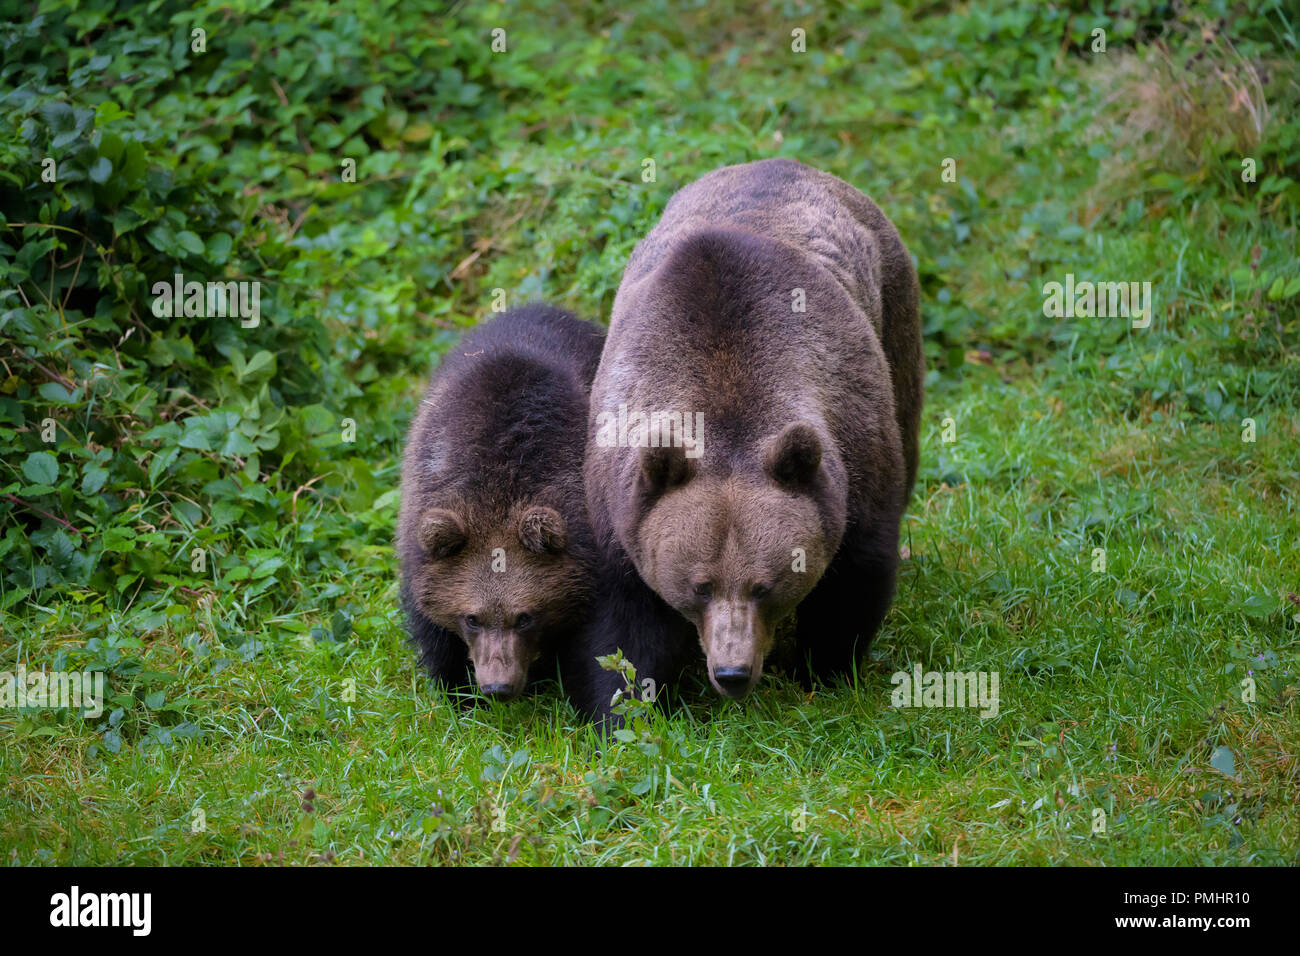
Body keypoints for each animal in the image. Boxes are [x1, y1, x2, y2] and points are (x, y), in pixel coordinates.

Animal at [567, 158, 922, 722]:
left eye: (764, 586)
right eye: (699, 585)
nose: (732, 673)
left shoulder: (853, 442)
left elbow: (854, 576)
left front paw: (824, 669)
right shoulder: (619, 497)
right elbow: (626, 622)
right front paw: (625, 706)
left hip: (894, 308)